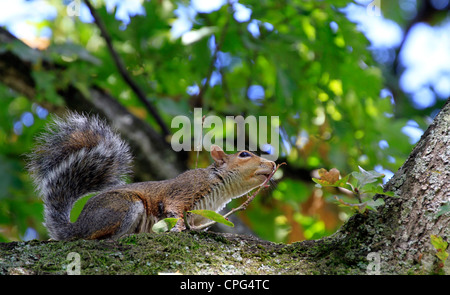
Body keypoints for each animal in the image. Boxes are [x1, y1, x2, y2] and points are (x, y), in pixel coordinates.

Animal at [28, 112, 276, 242]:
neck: (219, 187)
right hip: (123, 206)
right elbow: (174, 209)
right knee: (101, 237)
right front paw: (177, 228)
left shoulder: (203, 216)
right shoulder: (184, 190)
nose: (273, 164)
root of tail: (77, 227)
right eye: (244, 154)